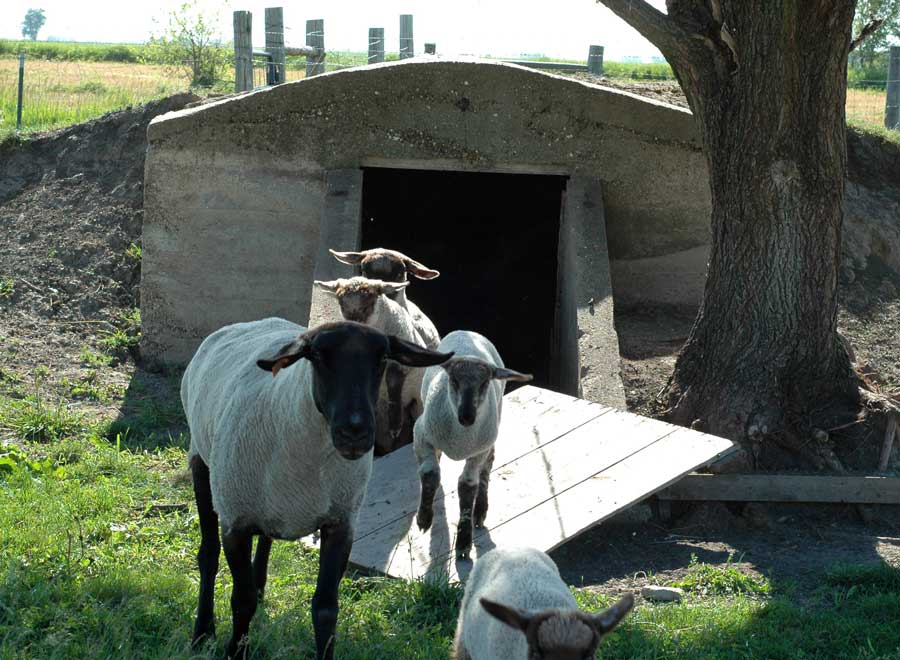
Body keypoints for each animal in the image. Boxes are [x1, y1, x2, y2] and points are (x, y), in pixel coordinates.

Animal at [181, 317, 451, 660]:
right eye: (319, 356)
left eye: (382, 358)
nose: (355, 432)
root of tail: (250, 322)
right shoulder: (235, 522)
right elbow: (241, 601)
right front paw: (234, 652)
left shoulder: (341, 522)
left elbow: (325, 608)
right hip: (203, 465)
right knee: (208, 555)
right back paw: (202, 633)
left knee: (265, 539)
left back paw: (258, 587)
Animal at [315, 276, 426, 454]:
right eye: (341, 304)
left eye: (368, 304)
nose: (353, 327)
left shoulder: (402, 363)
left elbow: (393, 381)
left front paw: (395, 424)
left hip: (418, 402)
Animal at [413, 330, 532, 559]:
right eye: (453, 380)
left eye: (484, 383)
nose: (467, 416)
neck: (460, 439)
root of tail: (467, 332)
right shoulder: (421, 433)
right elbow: (430, 473)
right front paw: (424, 517)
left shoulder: (478, 451)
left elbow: (467, 486)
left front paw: (463, 541)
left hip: (491, 433)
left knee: (487, 467)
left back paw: (480, 511)